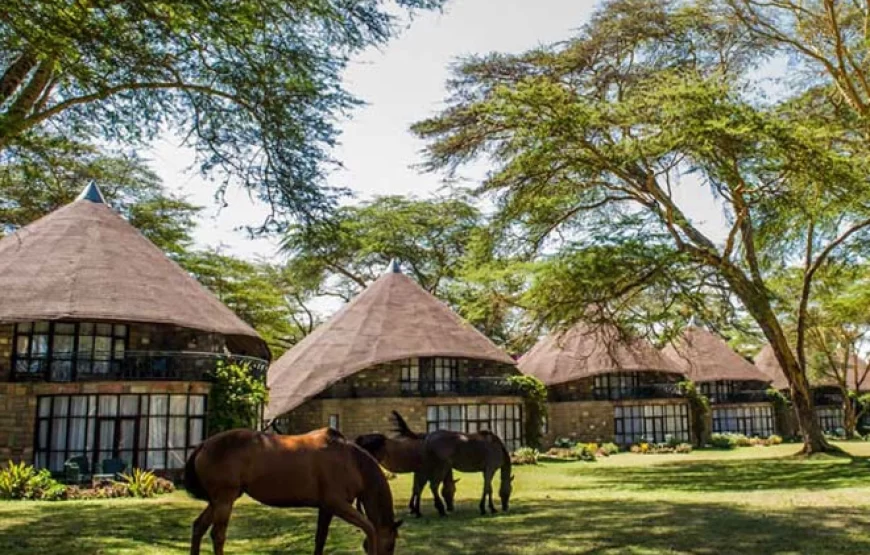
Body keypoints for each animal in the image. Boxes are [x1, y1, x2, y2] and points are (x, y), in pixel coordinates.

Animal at [186, 430, 404, 555]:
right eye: (390, 546)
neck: (352, 462)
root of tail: (203, 445)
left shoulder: (326, 508)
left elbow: (320, 539)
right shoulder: (338, 505)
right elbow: (370, 529)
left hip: (217, 501)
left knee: (198, 527)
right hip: (225, 499)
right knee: (217, 535)